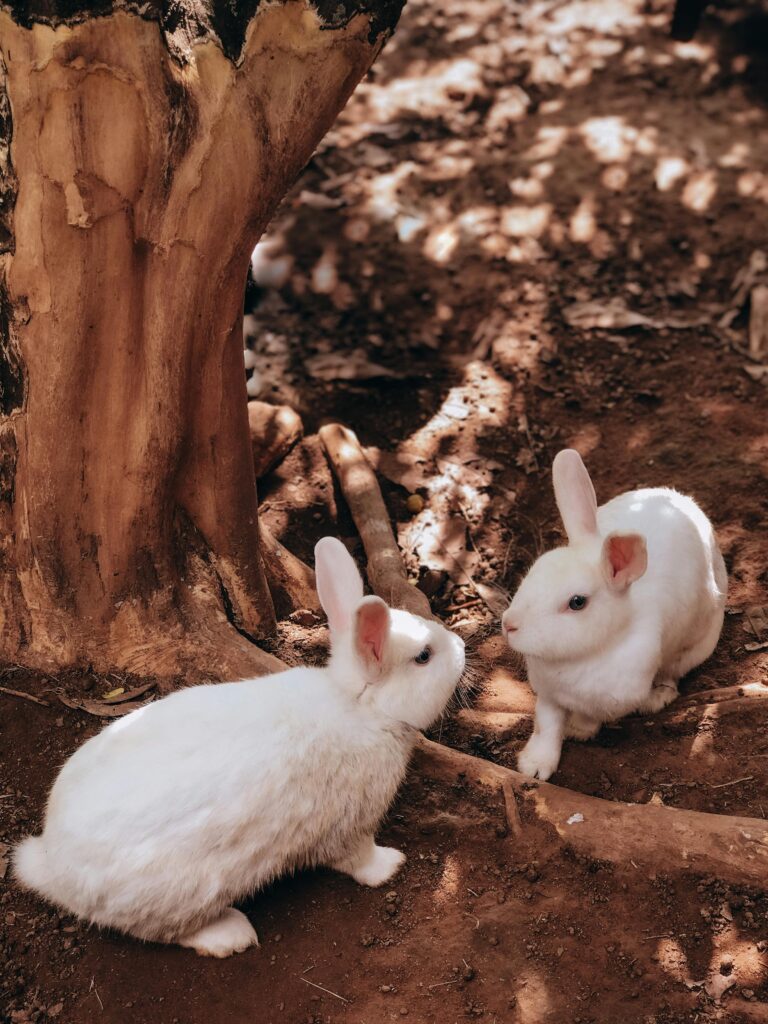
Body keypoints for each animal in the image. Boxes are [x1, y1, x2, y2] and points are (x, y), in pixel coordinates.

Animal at [15, 540, 466, 954]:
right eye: (424, 657)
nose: (462, 646)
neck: (360, 708)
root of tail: (50, 866)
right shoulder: (350, 824)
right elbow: (358, 860)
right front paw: (391, 865)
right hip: (183, 894)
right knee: (166, 931)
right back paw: (231, 935)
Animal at [501, 450, 729, 782]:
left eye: (577, 602)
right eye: (533, 571)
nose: (509, 625)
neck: (585, 656)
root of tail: (684, 501)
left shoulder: (607, 701)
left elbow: (586, 718)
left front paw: (578, 730)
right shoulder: (548, 696)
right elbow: (547, 726)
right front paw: (534, 766)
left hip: (695, 646)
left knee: (672, 672)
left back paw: (658, 697)